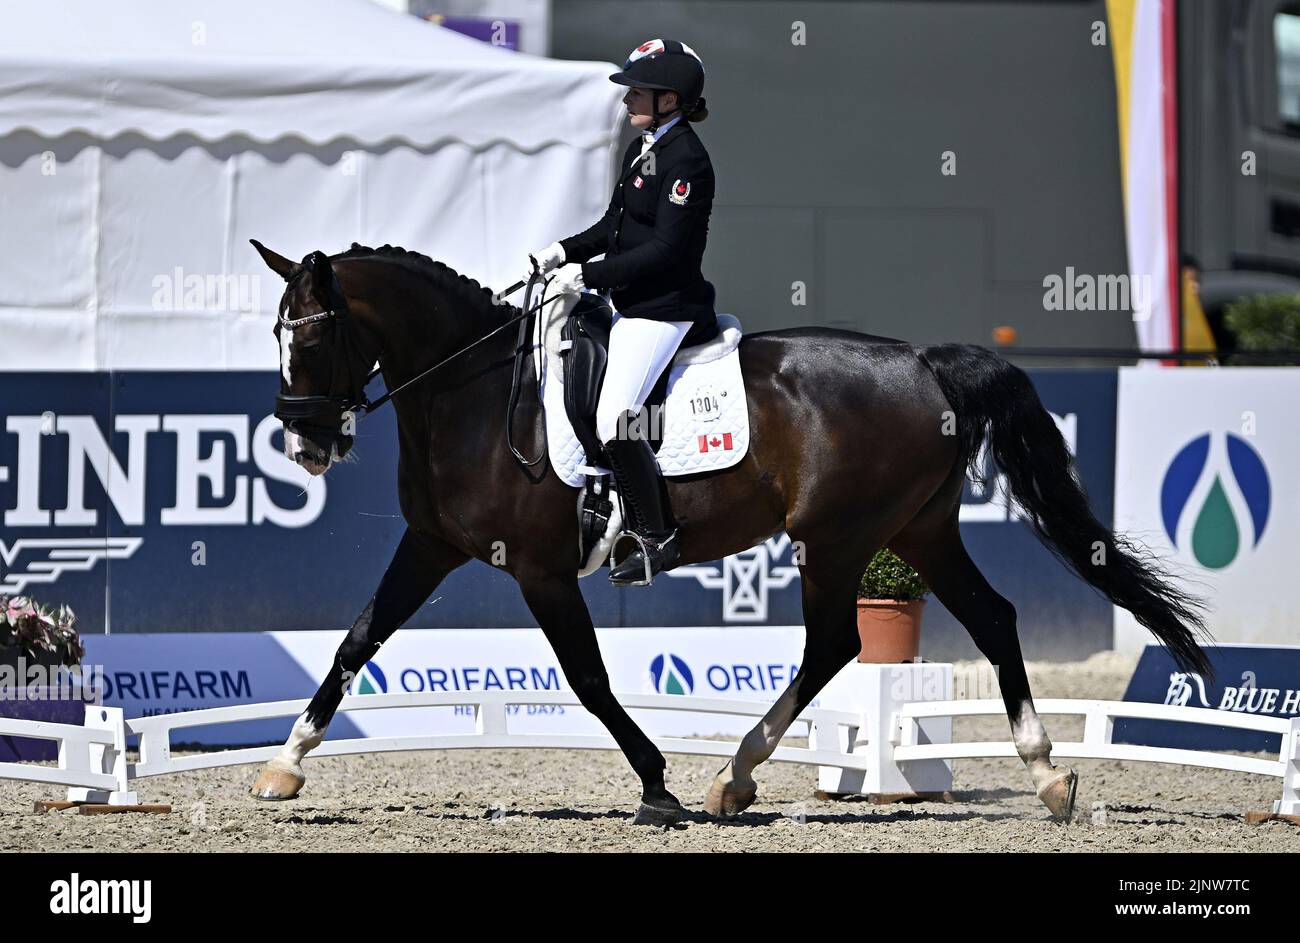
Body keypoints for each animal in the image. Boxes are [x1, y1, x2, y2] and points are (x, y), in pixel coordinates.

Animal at [245, 243, 1206, 822]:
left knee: (836, 641)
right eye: (278, 337)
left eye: (316, 337)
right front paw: (284, 763)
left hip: (839, 536)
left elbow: (589, 679)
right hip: (919, 529)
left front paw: (657, 784)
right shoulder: (432, 545)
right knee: (991, 618)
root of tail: (923, 361)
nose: (304, 445)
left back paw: (731, 775)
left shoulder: (542, 570)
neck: (474, 391)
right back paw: (1045, 773)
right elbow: (357, 638)